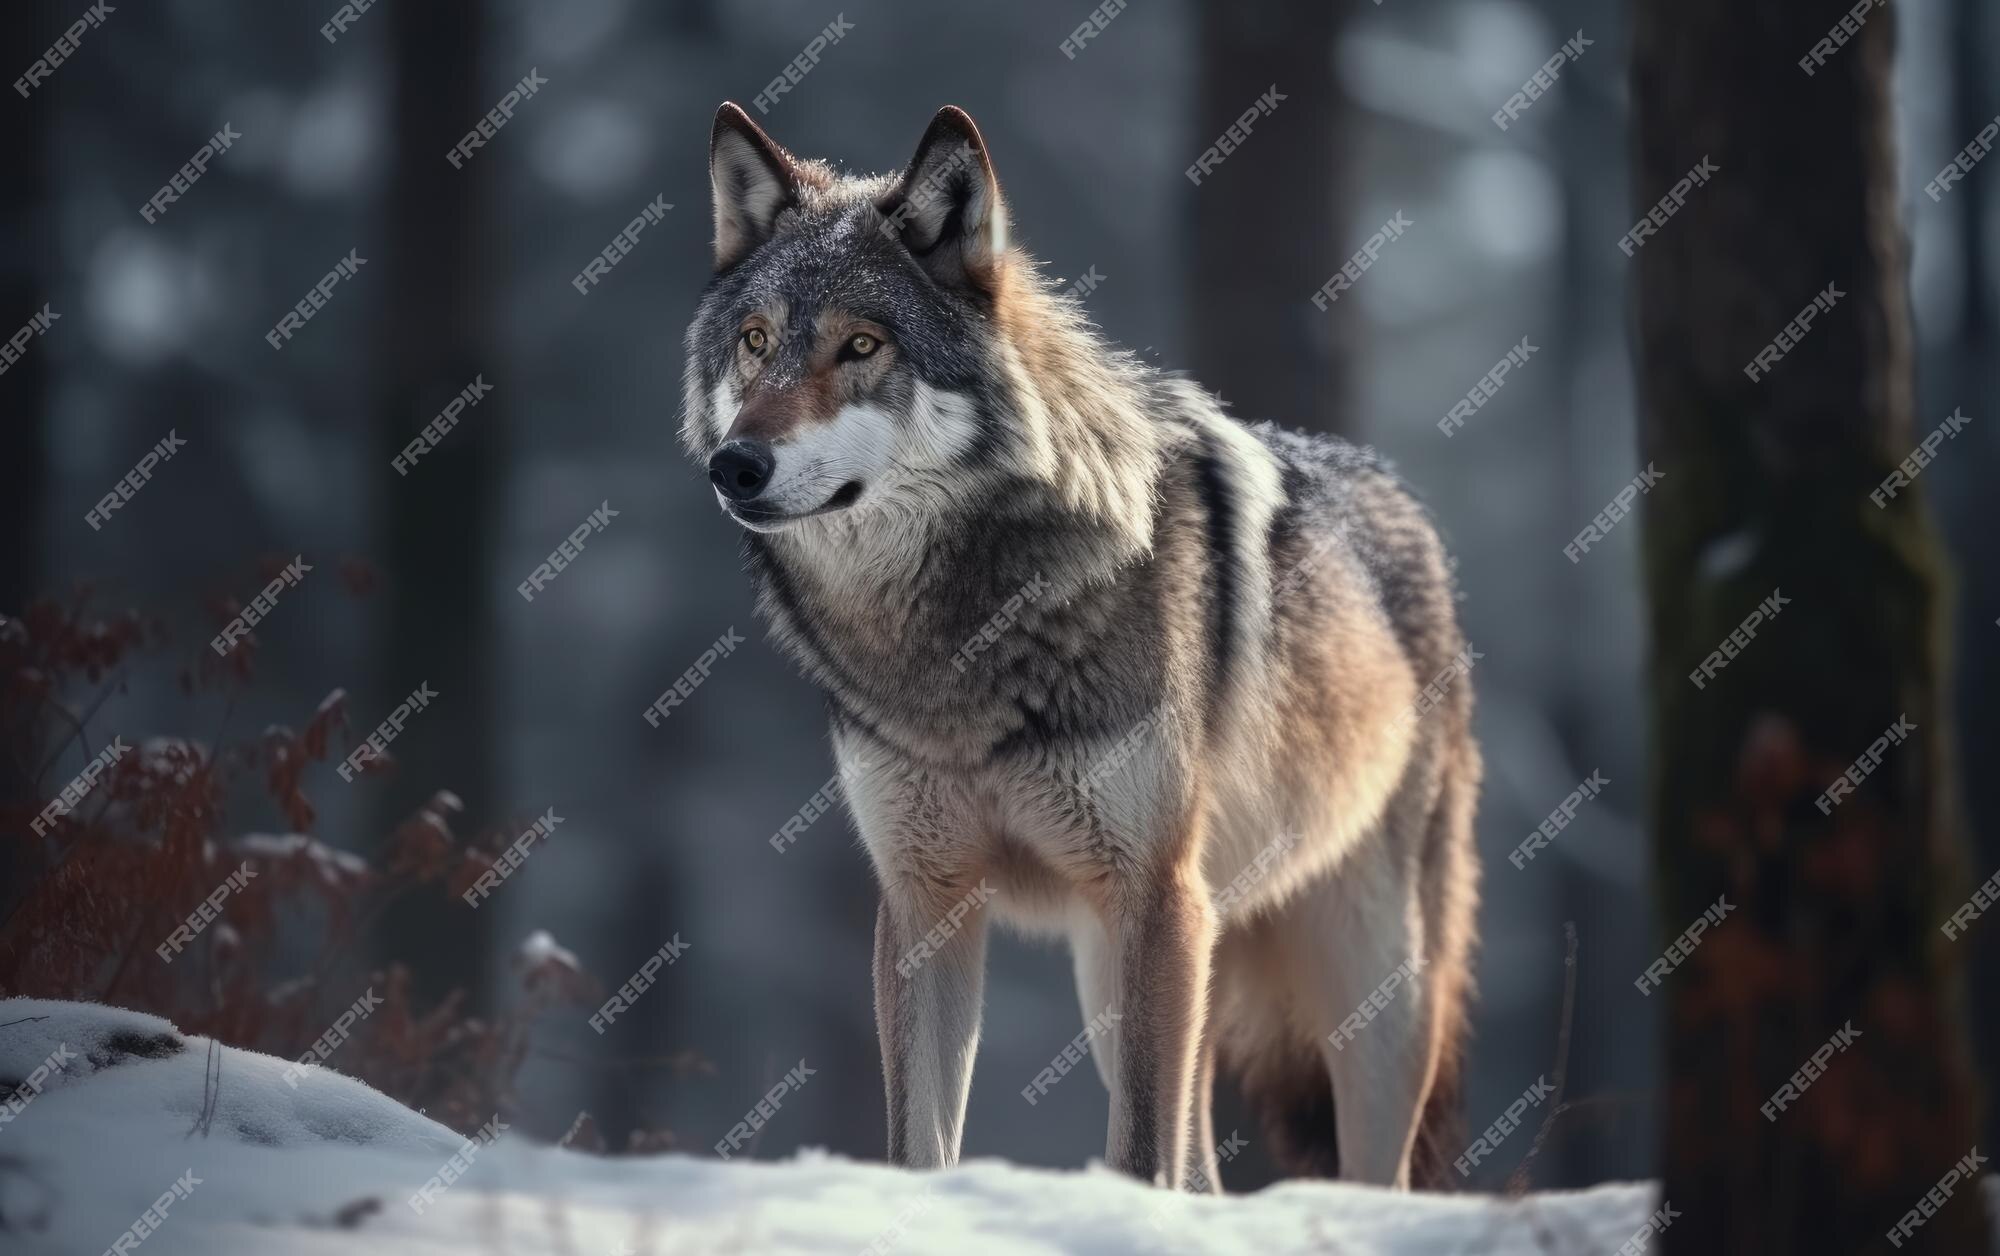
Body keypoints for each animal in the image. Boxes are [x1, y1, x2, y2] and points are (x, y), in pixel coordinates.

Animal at [680, 103, 1480, 1192]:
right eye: (755, 341)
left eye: (861, 345)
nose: (736, 464)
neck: (957, 639)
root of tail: (1406, 503)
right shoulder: (925, 900)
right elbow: (918, 1149)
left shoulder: (1148, 895)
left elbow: (1138, 1154)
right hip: (1139, 963)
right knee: (1203, 1165)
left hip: (1359, 984)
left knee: (1366, 1171)